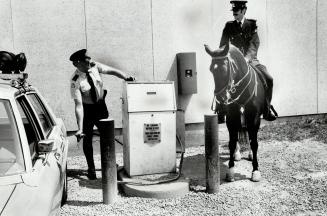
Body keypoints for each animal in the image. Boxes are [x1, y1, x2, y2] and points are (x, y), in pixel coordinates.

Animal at [205, 42, 266, 182]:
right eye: (211, 69)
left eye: (225, 69)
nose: (221, 99)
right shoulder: (232, 118)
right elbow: (232, 143)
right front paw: (231, 170)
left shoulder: (254, 119)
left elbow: (254, 143)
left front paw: (255, 170)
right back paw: (237, 154)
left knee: (250, 136)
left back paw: (250, 154)